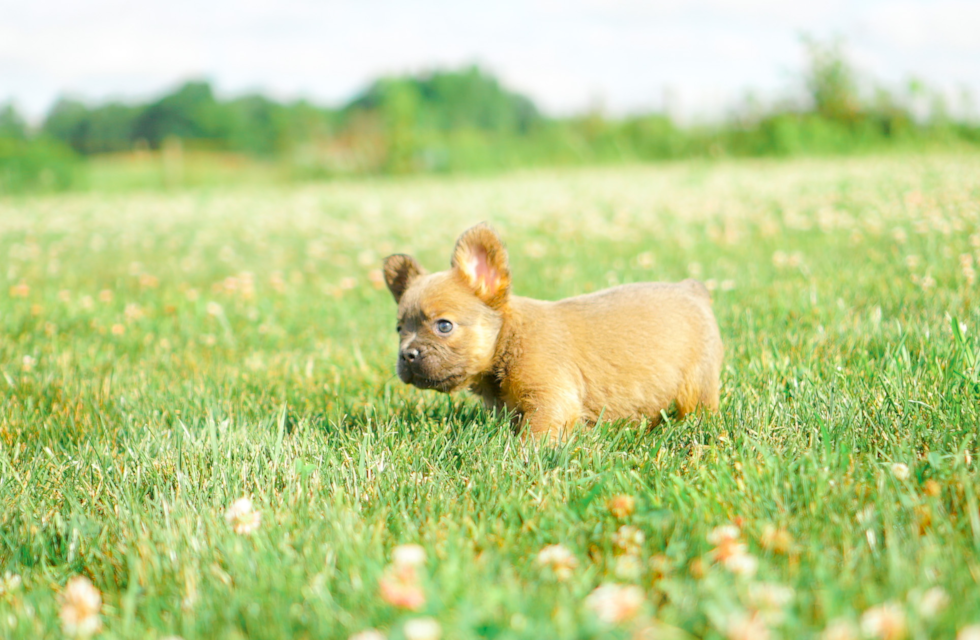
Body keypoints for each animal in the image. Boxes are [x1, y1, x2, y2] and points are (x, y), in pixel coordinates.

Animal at [380, 221, 720, 440]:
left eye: (444, 326)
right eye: (399, 329)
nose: (407, 355)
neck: (508, 338)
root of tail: (691, 289)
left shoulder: (550, 400)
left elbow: (534, 437)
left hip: (697, 384)